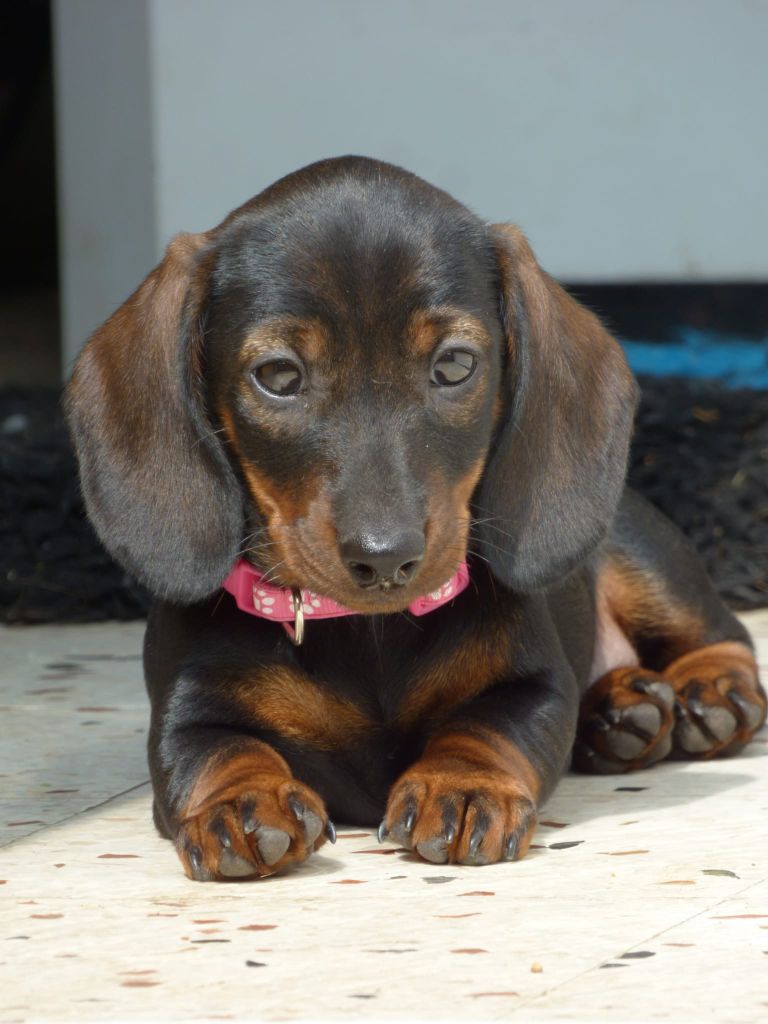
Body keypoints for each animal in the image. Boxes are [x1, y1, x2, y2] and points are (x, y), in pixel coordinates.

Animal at [64, 153, 765, 880]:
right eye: (278, 375)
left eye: (454, 364)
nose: (385, 557)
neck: (366, 630)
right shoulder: (187, 710)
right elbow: (216, 750)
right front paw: (243, 800)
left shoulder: (533, 684)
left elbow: (489, 726)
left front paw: (463, 785)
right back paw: (622, 709)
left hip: (640, 554)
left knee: (724, 635)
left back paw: (707, 692)